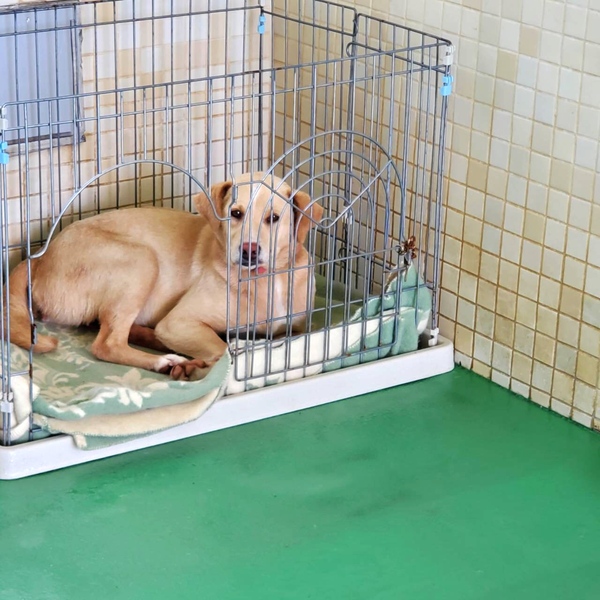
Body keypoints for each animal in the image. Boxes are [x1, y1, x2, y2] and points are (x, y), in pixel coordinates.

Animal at [8, 172, 324, 381]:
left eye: (274, 218)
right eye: (235, 213)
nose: (249, 250)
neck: (266, 280)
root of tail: (39, 257)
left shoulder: (294, 327)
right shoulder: (179, 322)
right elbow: (223, 350)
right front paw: (197, 365)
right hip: (142, 260)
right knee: (106, 344)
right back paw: (164, 360)